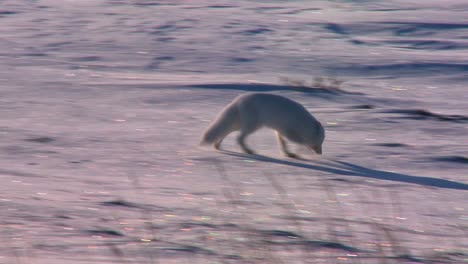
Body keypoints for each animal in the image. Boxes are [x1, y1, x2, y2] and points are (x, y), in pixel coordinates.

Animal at [198, 93, 326, 158]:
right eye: (320, 141)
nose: (320, 152)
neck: (302, 122)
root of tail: (237, 101)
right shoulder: (287, 131)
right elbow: (299, 141)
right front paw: (300, 151)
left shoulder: (279, 131)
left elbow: (282, 143)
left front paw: (288, 153)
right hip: (253, 125)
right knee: (238, 137)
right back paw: (248, 151)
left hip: (239, 124)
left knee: (225, 131)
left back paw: (217, 145)